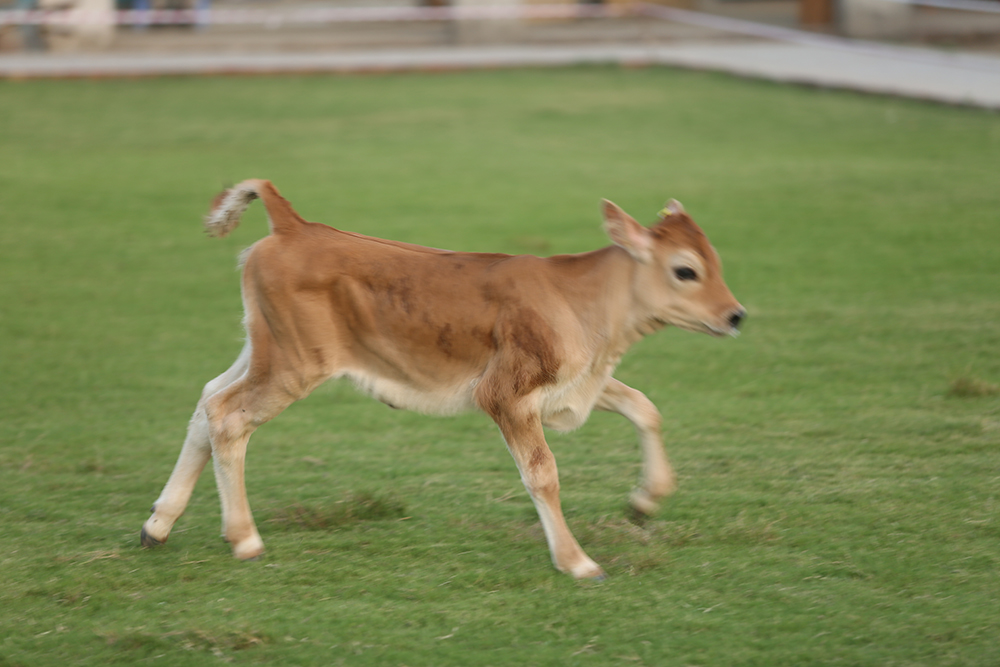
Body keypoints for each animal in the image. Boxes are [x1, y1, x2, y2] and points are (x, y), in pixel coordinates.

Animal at [140, 180, 745, 579]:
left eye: (715, 260)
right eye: (685, 269)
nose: (736, 315)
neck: (585, 306)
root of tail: (295, 224)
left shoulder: (576, 385)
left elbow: (645, 406)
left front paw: (646, 499)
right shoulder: (505, 393)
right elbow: (543, 473)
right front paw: (576, 561)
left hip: (262, 348)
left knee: (206, 400)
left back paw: (158, 525)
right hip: (293, 364)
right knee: (228, 417)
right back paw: (244, 538)